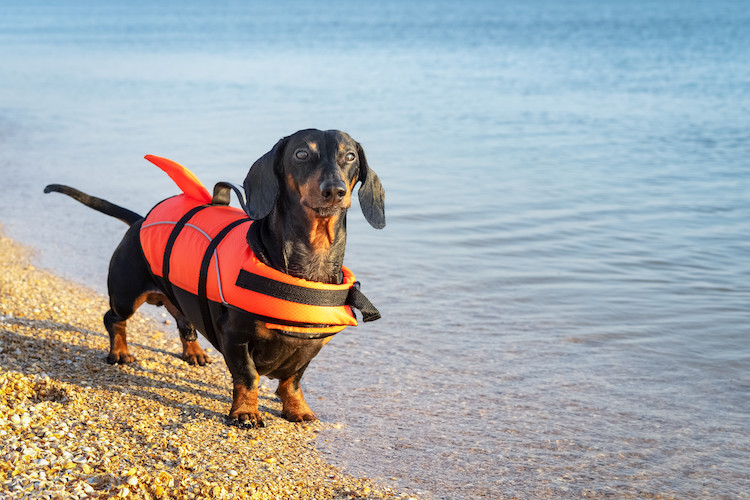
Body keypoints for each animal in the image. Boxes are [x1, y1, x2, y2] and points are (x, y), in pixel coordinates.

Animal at [45, 128, 388, 426]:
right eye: (301, 153)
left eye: (349, 156)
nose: (334, 191)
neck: (308, 265)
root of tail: (140, 220)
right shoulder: (234, 336)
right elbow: (248, 377)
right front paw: (245, 413)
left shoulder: (311, 346)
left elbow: (292, 380)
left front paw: (297, 409)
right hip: (126, 294)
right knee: (113, 318)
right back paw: (120, 352)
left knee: (183, 319)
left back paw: (194, 352)